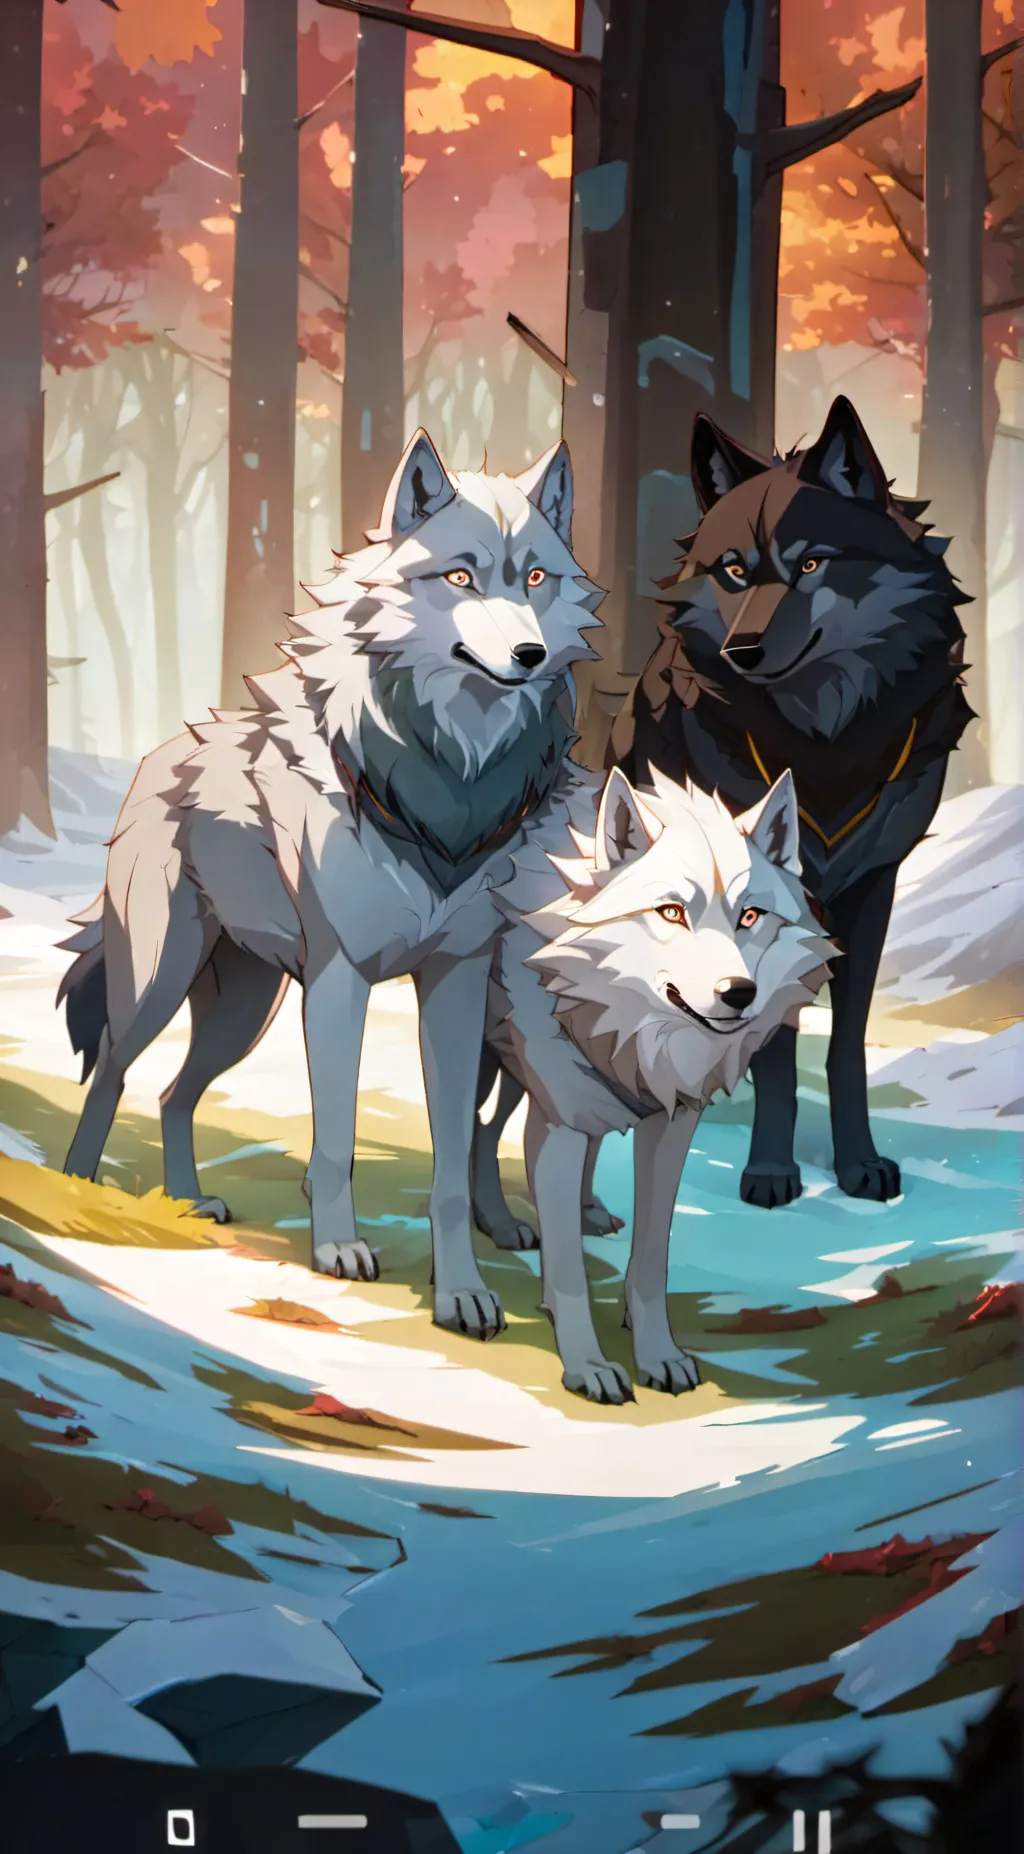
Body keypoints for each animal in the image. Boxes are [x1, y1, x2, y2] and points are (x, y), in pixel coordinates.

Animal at [58, 430, 601, 1341]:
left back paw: (188, 1199)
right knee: (112, 1075)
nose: (528, 656)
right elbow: (338, 1137)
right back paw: (79, 1191)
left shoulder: (455, 986)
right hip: (162, 984)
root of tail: (159, 753)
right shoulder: (342, 979)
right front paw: (339, 1250)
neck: (444, 793)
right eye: (460, 577)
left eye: (535, 578)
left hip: (244, 1011)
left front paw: (461, 1292)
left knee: (172, 1092)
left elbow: (451, 1159)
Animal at [487, 764, 831, 1402]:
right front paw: (587, 1365)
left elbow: (650, 1263)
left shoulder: (672, 1127)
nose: (738, 993)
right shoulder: (559, 1122)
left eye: (750, 916)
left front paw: (658, 1355)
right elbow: (569, 1272)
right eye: (672, 912)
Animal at [609, 395, 972, 1208]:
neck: (824, 748)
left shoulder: (874, 892)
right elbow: (775, 1053)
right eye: (734, 571)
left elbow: (846, 1044)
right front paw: (772, 1170)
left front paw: (859, 1163)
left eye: (810, 564)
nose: (742, 650)